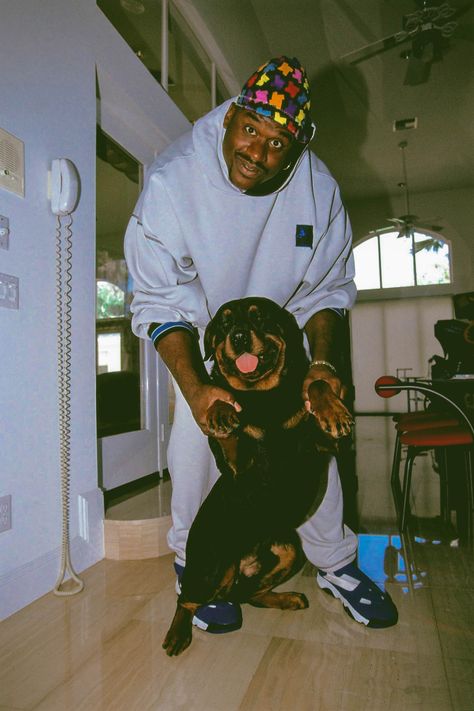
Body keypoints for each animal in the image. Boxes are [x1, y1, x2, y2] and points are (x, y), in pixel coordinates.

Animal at [163, 296, 352, 656]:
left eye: (260, 317)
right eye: (223, 324)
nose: (238, 336)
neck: (263, 396)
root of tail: (241, 562)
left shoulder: (327, 444)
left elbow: (318, 382)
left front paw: (332, 410)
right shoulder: (238, 466)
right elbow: (225, 409)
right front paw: (220, 411)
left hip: (289, 551)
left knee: (249, 594)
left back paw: (287, 598)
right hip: (210, 566)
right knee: (186, 599)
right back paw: (177, 633)